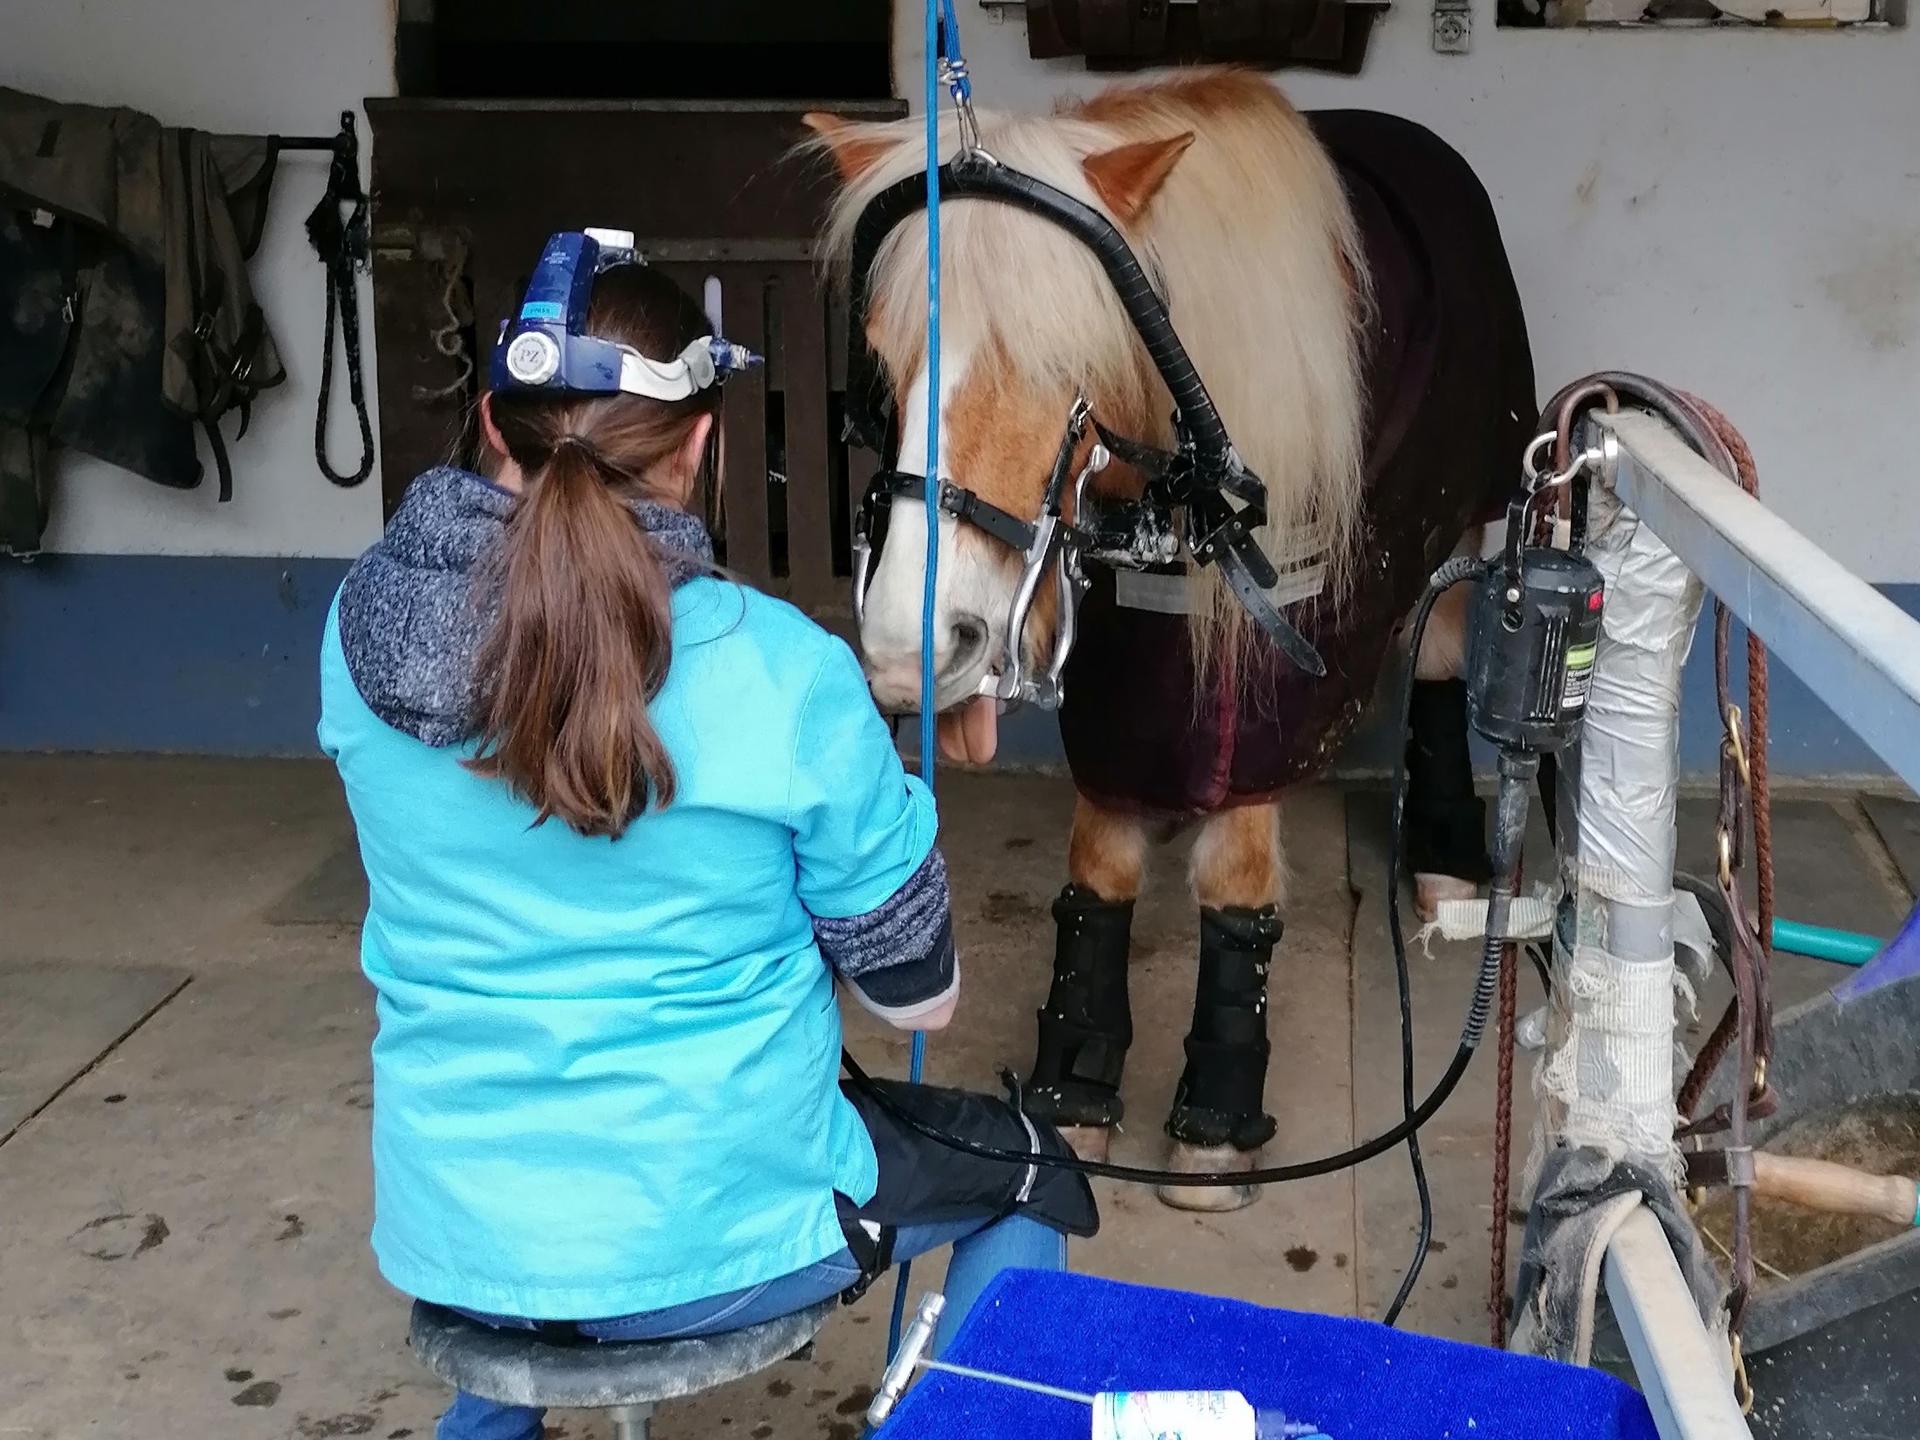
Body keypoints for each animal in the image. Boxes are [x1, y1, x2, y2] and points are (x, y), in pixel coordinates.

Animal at [806, 69, 1536, 1211]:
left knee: (1444, 660)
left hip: (1464, 527)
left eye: (1068, 359)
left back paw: (1448, 857)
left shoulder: (1269, 672)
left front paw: (1219, 1122)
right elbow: (1100, 861)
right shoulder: (1123, 676)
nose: (914, 643)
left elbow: (1235, 874)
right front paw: (1075, 1080)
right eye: (883, 354)